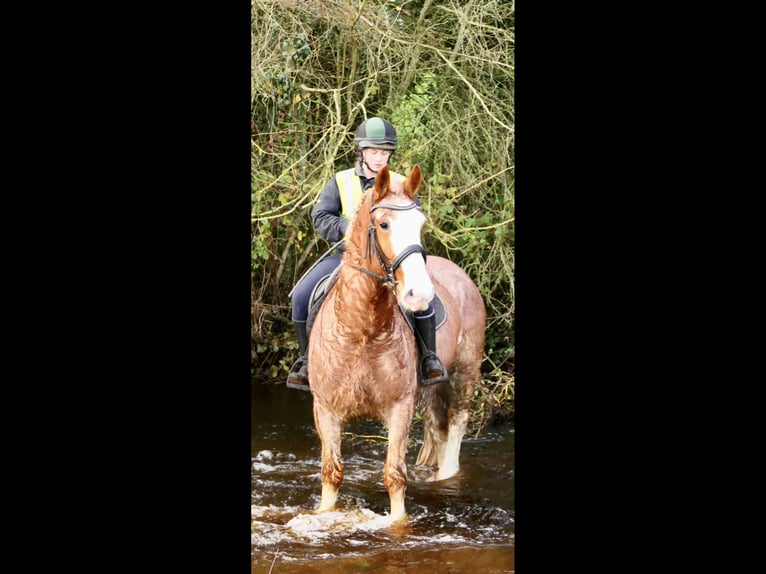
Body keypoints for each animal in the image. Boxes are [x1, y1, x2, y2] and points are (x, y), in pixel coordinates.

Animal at [307, 164, 486, 522]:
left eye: (421, 224)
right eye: (383, 224)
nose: (419, 294)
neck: (362, 329)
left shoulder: (399, 407)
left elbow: (395, 475)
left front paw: (398, 524)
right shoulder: (326, 409)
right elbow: (331, 473)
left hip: (465, 373)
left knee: (456, 426)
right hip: (429, 390)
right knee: (437, 428)